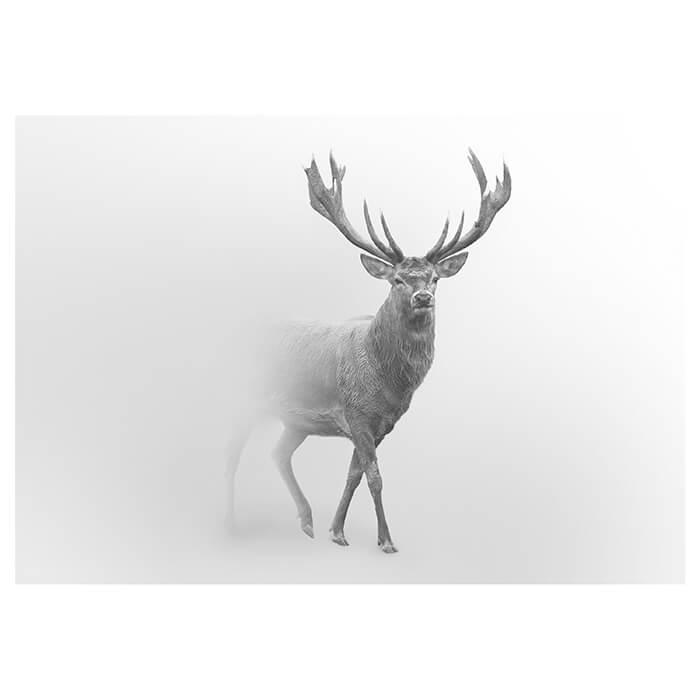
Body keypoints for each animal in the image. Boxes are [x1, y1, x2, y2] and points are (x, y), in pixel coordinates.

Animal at [226, 149, 511, 553]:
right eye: (397, 280)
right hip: (244, 399)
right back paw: (232, 523)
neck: (389, 382)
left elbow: (354, 475)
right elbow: (375, 477)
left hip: (296, 421)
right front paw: (386, 540)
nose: (423, 297)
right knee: (232, 454)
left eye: (435, 279)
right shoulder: (356, 413)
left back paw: (307, 521)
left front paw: (336, 531)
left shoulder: (381, 425)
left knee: (278, 453)